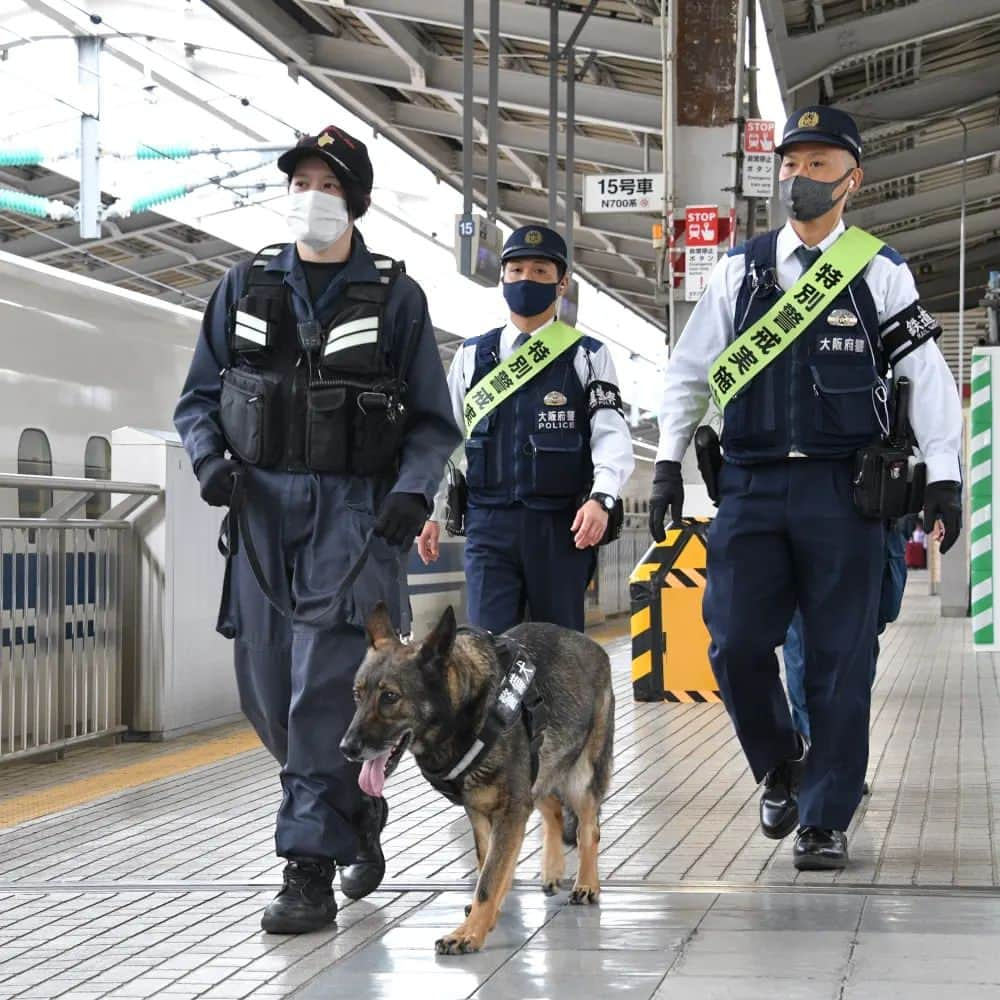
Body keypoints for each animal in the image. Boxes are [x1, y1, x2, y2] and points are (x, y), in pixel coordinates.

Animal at [340, 600, 612, 952]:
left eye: (390, 697)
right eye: (357, 694)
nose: (347, 748)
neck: (466, 713)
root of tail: (591, 645)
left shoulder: (510, 811)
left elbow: (489, 878)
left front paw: (468, 933)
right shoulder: (483, 813)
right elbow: (487, 866)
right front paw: (486, 916)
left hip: (580, 777)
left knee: (588, 829)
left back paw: (587, 884)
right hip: (540, 772)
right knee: (552, 811)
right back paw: (552, 871)